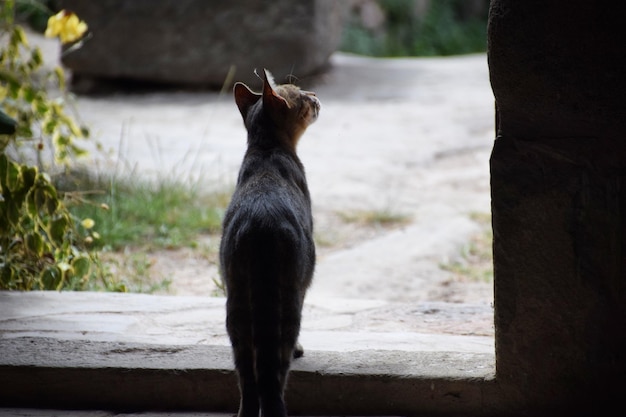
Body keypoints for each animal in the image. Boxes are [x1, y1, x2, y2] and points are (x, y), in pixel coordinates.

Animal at [218, 70, 316, 416]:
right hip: (287, 302)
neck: (265, 151)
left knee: (247, 377)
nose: (315, 96)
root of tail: (259, 224)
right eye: (301, 95)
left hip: (235, 307)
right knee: (274, 373)